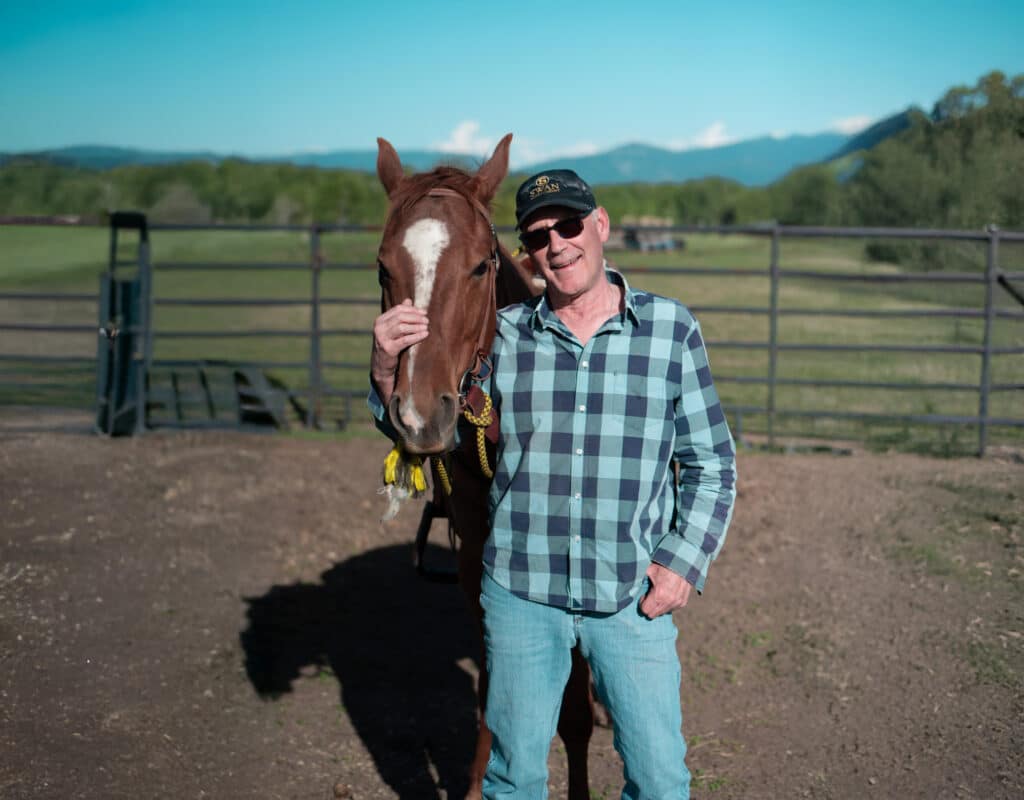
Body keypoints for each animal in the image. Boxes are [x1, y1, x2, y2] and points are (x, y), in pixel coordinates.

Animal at [374, 133, 596, 800]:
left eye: (479, 266)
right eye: (383, 268)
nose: (419, 414)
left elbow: (575, 707)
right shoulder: (477, 548)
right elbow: (496, 684)